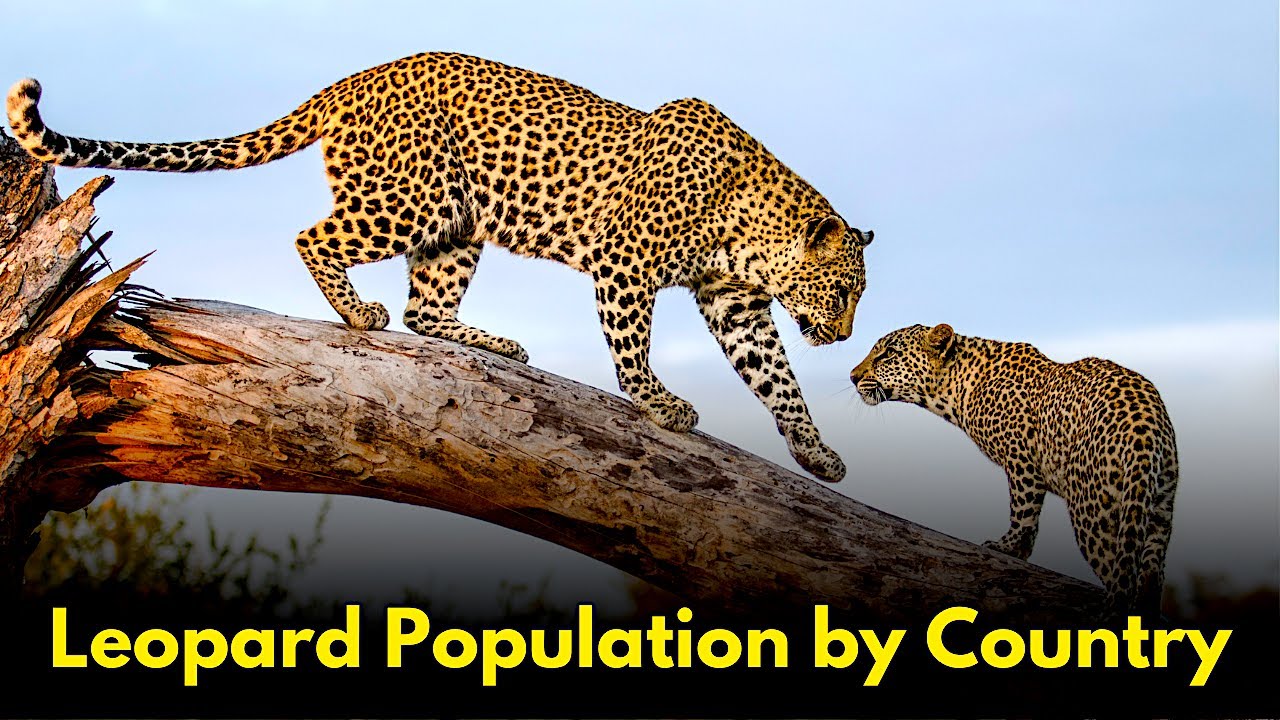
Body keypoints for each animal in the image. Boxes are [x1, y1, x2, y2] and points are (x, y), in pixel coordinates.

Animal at [6, 52, 874, 482]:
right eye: (842, 291)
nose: (839, 338)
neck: (749, 231)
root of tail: (360, 75)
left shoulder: (736, 304)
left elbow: (778, 380)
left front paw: (816, 452)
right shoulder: (626, 264)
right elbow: (632, 347)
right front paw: (660, 405)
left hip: (458, 221)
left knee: (427, 309)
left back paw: (492, 341)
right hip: (411, 199)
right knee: (313, 237)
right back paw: (358, 313)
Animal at [849, 323, 1179, 613]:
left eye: (888, 354)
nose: (852, 377)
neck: (956, 389)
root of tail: (1146, 422)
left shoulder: (1021, 461)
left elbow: (1023, 512)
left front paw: (1006, 546)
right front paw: (1020, 552)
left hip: (1094, 510)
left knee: (1120, 579)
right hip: (1158, 508)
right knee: (1149, 579)